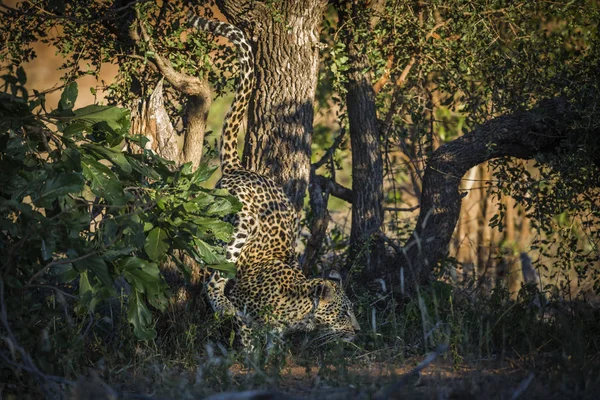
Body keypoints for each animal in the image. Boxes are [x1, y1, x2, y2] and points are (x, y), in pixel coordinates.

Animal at [188, 12, 358, 344]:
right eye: (344, 312)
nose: (358, 330)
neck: (300, 311)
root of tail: (239, 167)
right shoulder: (247, 311)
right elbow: (248, 335)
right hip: (238, 224)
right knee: (213, 276)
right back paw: (221, 305)